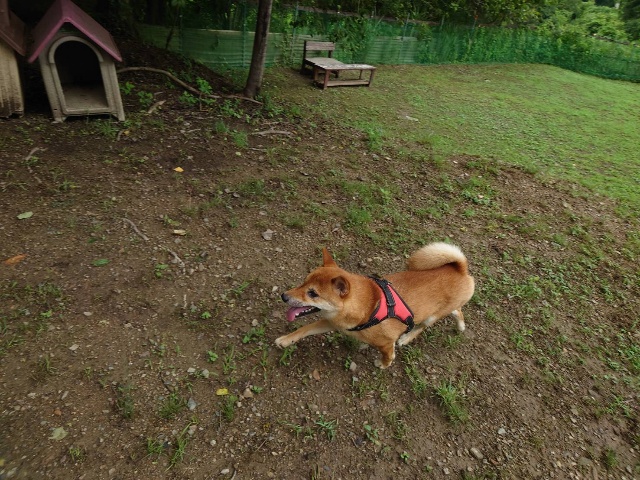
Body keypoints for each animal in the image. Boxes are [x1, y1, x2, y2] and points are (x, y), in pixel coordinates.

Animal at [275, 243, 475, 368]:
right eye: (303, 282)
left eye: (313, 293)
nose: (284, 296)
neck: (368, 308)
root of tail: (460, 269)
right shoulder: (331, 322)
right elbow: (304, 329)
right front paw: (285, 340)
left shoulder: (386, 343)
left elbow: (388, 355)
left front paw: (383, 365)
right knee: (458, 311)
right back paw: (461, 325)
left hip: (431, 317)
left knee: (424, 325)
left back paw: (407, 337)